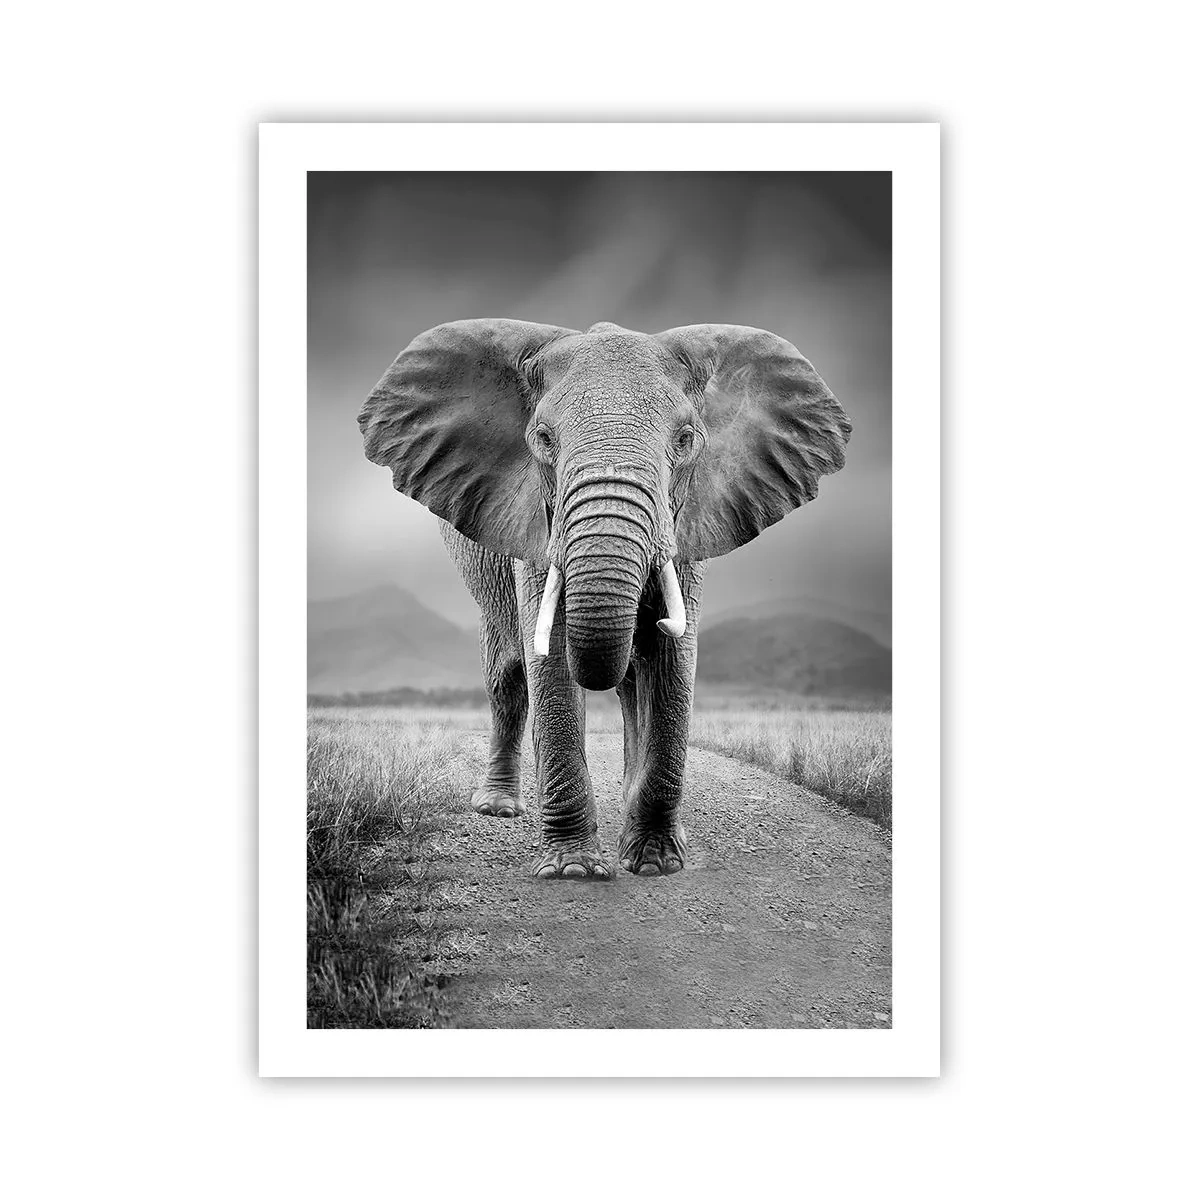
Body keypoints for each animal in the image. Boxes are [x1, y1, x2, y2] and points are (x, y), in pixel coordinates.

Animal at [358, 320, 851, 879]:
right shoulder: (537, 523)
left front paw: (655, 863)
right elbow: (548, 659)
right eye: (542, 439)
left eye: (686, 440)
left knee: (633, 680)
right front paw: (573, 870)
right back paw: (499, 807)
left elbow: (673, 659)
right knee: (507, 675)